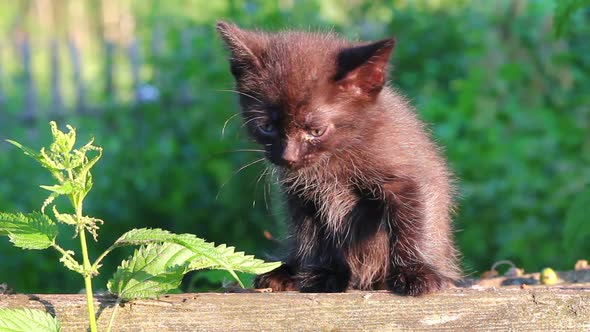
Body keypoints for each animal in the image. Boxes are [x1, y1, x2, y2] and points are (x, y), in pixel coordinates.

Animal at [217, 21, 462, 296]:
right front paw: (324, 274)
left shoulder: (409, 176)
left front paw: (416, 272)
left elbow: (415, 223)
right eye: (267, 127)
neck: (336, 158)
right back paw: (285, 273)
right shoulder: (304, 195)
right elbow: (314, 235)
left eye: (316, 131)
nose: (288, 157)